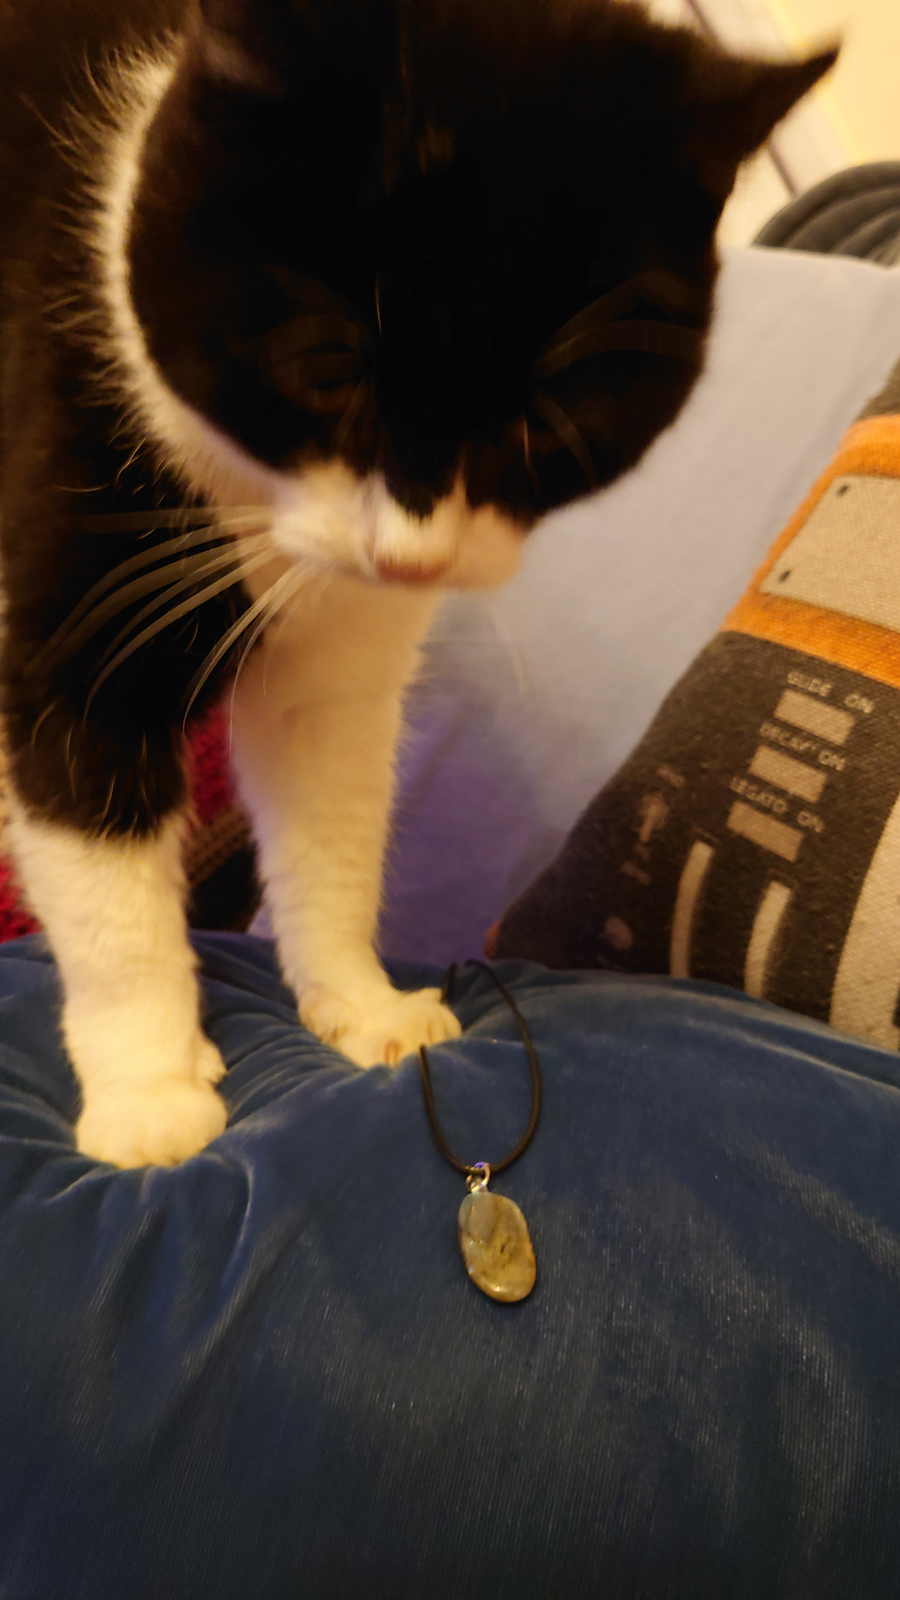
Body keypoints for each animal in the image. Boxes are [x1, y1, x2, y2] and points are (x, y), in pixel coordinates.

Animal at [0, 0, 834, 1167]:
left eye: (546, 424)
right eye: (327, 368)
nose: (412, 559)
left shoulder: (340, 661)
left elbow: (334, 820)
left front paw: (361, 1004)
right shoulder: (78, 600)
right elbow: (100, 867)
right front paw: (147, 1091)